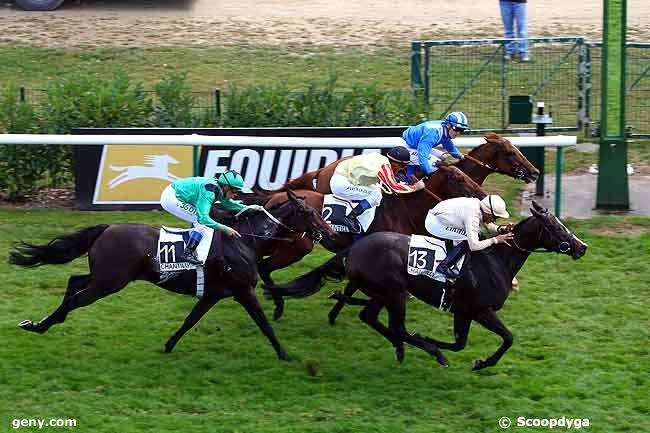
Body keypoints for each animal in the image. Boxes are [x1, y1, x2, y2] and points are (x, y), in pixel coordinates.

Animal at [8, 191, 334, 360]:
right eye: (309, 212)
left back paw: (43, 322)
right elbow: (264, 324)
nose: (328, 231)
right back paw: (41, 325)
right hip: (110, 282)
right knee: (76, 298)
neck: (246, 240)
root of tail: (107, 227)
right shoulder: (243, 291)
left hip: (103, 276)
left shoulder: (214, 293)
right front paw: (284, 354)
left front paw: (168, 345)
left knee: (74, 281)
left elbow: (190, 320)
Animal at [276, 202, 584, 368]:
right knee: (396, 326)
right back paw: (426, 351)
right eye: (556, 227)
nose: (582, 247)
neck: (495, 261)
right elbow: (507, 338)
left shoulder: (463, 311)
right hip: (395, 293)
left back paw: (400, 348)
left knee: (371, 317)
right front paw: (480, 362)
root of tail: (355, 247)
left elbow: (460, 344)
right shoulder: (480, 310)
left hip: (382, 292)